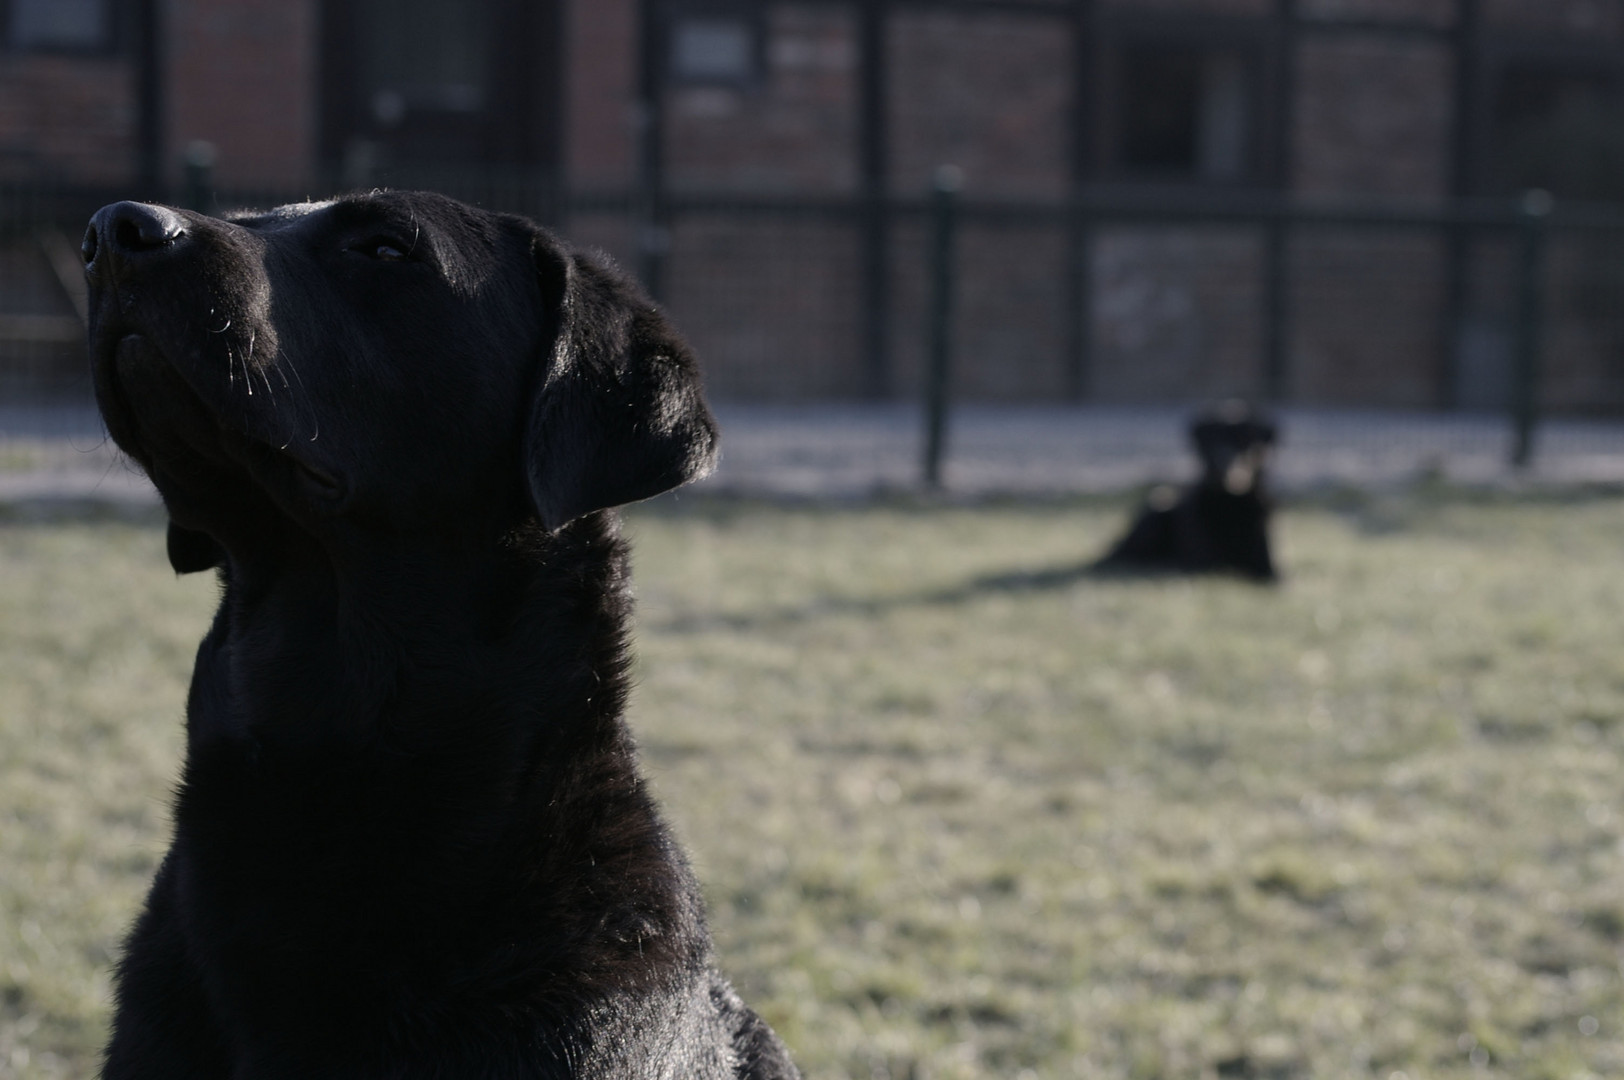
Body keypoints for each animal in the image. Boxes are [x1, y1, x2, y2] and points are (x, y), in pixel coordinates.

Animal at [1091, 397, 1279, 581]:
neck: (1231, 507)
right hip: (1158, 508)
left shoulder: (1269, 570)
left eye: (1244, 441)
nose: (1219, 467)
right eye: (1210, 439)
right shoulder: (1204, 565)